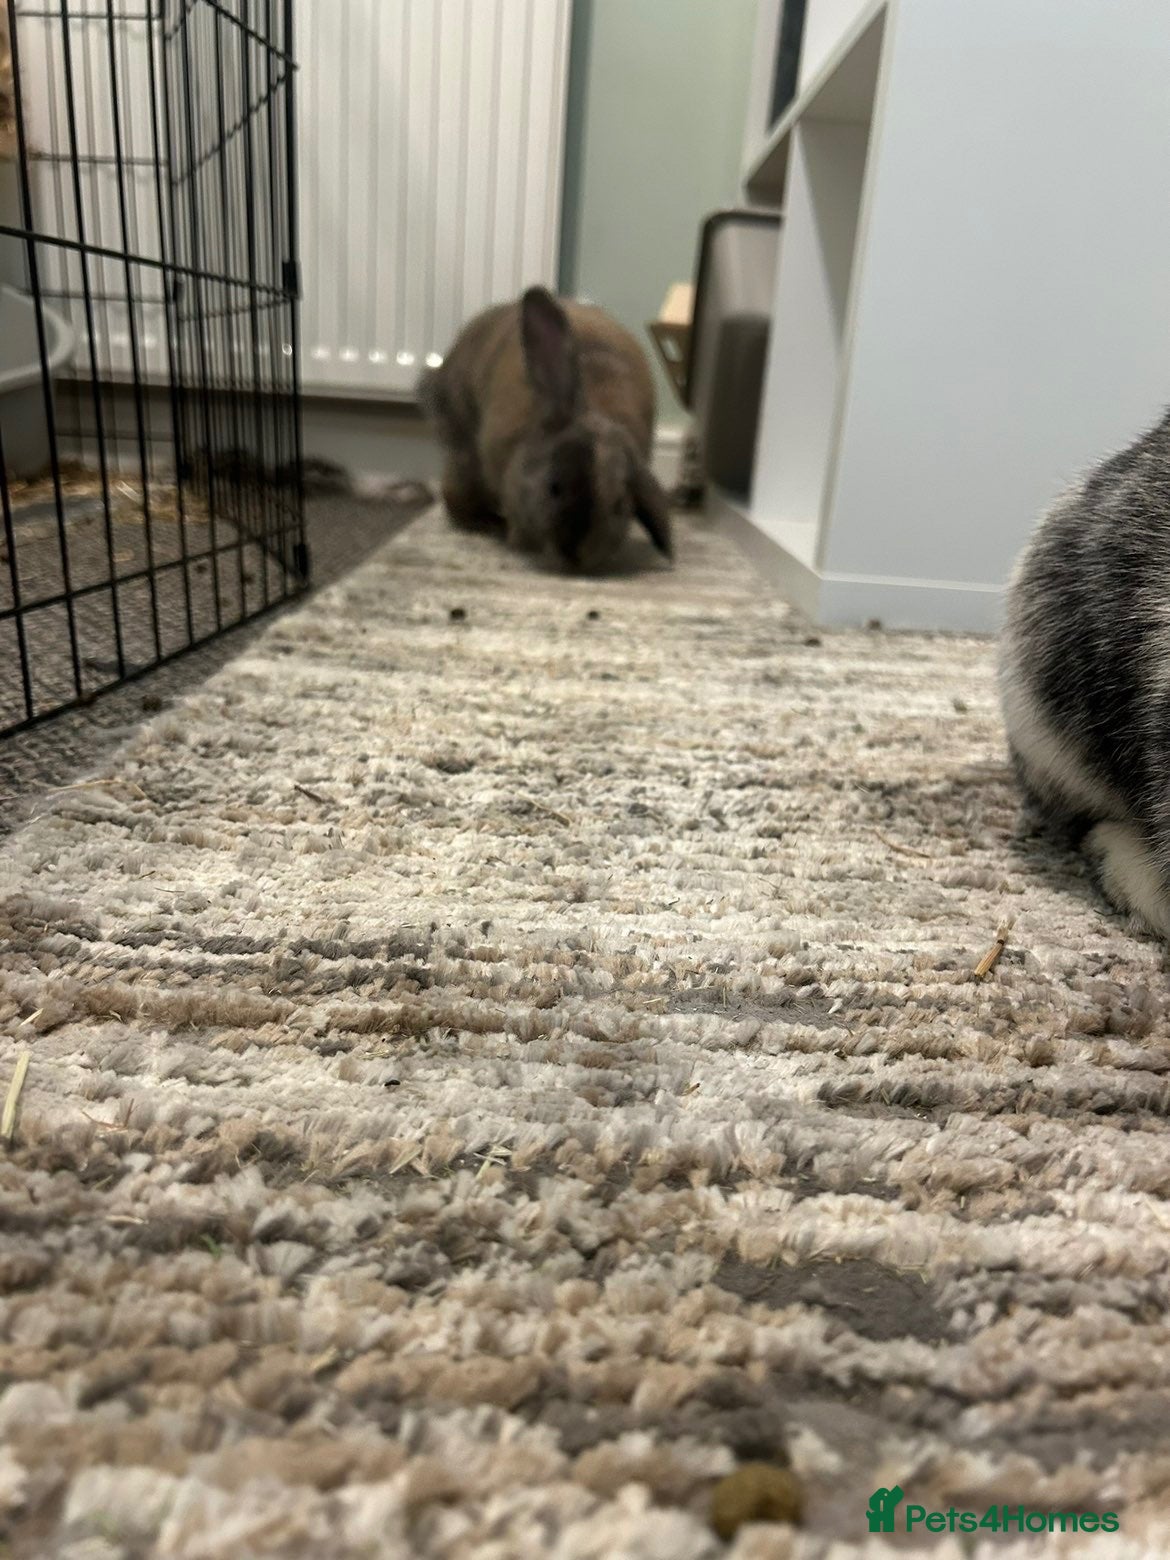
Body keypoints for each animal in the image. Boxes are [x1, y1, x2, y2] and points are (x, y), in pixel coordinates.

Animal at [419, 286, 672, 572]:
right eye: (554, 487)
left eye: (618, 505)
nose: (573, 554)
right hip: (463, 456)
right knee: (454, 496)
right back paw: (486, 524)